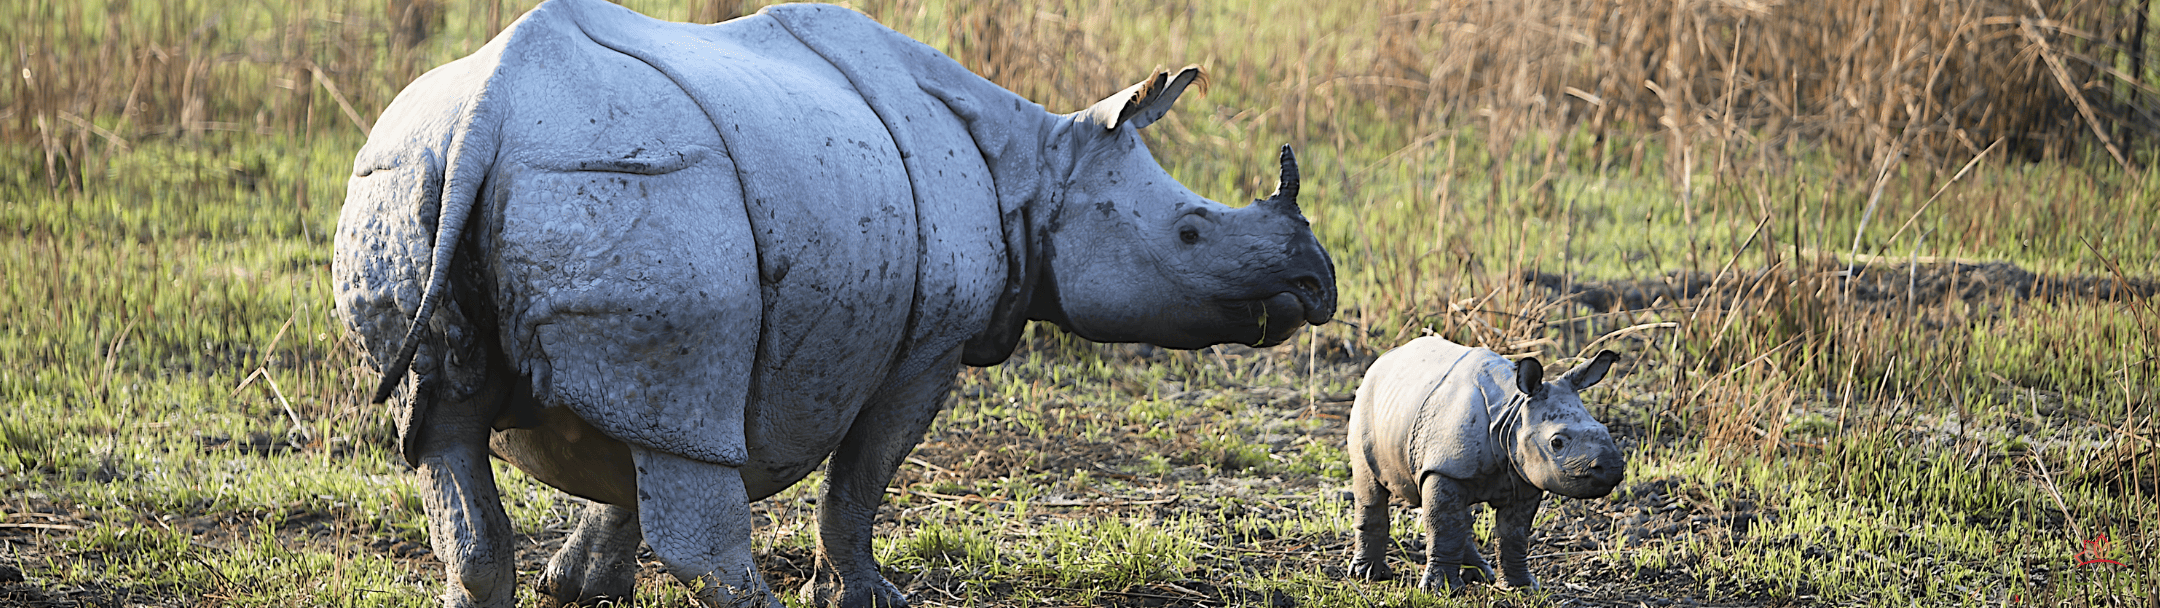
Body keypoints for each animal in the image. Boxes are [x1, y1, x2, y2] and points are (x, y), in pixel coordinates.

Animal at [331, 1, 1336, 606]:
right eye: (1192, 233)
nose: (1316, 286)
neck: (1035, 166)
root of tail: (487, 113)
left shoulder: (643, 388)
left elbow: (629, 469)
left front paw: (581, 589)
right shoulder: (930, 342)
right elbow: (863, 474)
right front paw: (868, 597)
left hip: (405, 170)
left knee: (446, 439)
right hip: (631, 182)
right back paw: (761, 603)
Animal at [1346, 337, 1623, 593]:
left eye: (1604, 430)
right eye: (1557, 442)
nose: (1612, 468)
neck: (1513, 410)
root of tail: (1384, 358)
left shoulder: (1522, 475)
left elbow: (1513, 534)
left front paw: (1521, 586)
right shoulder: (1444, 468)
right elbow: (1444, 528)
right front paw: (1440, 590)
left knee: (1459, 518)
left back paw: (1479, 574)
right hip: (1365, 404)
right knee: (1370, 486)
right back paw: (1369, 574)